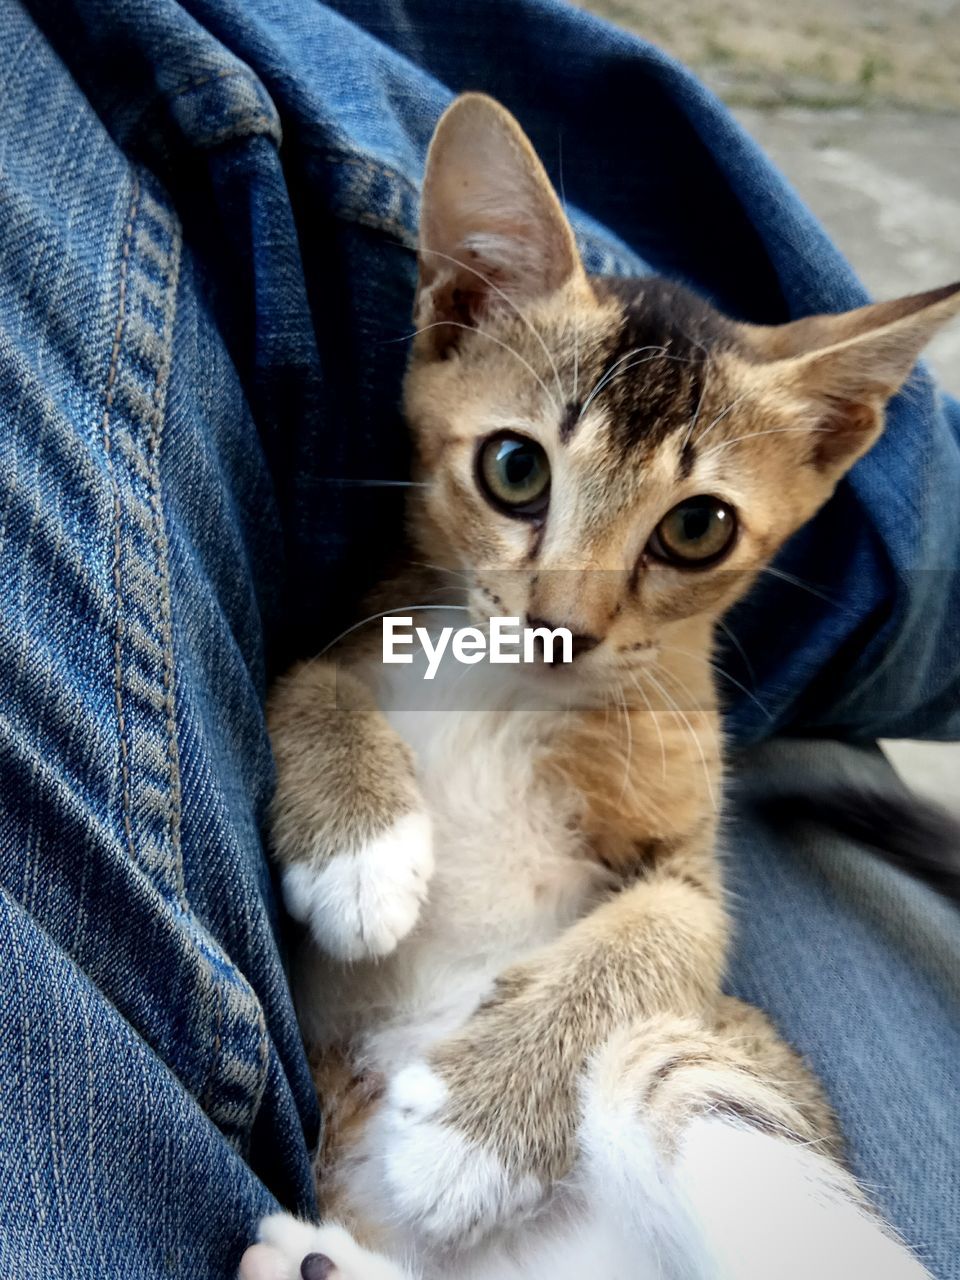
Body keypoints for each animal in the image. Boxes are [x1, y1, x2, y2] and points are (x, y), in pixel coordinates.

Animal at [236, 92, 957, 1280]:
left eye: (697, 527)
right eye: (514, 468)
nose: (559, 629)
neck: (502, 691)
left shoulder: (692, 866)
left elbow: (661, 932)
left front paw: (467, 1134)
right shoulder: (347, 629)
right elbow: (303, 677)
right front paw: (361, 848)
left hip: (702, 1071)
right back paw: (316, 1265)